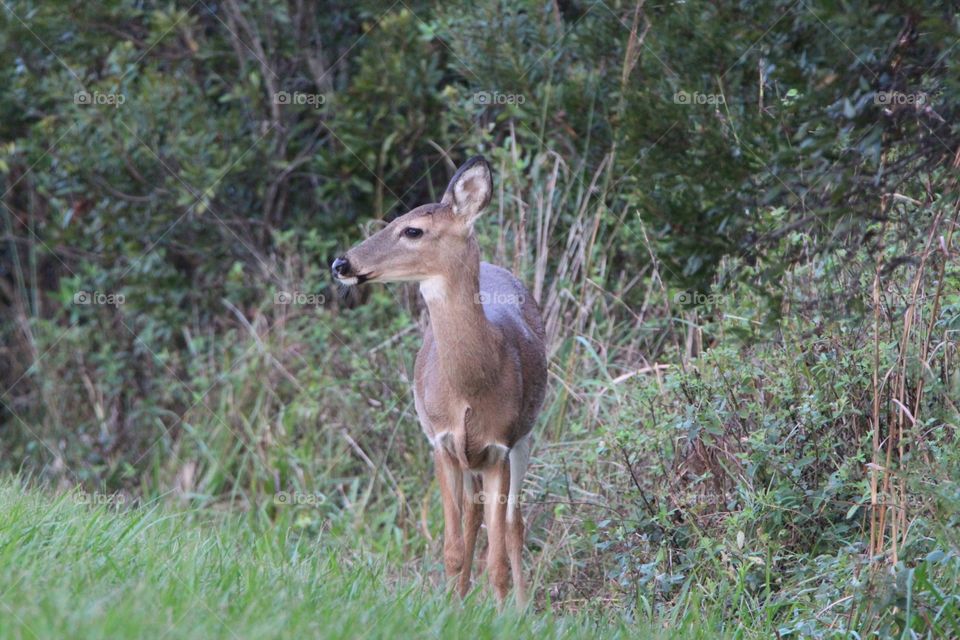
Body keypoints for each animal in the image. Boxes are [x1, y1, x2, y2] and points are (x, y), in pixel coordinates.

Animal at [332, 155, 548, 604]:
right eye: (394, 219)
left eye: (412, 230)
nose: (341, 264)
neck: (470, 386)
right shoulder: (441, 441)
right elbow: (452, 548)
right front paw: (450, 607)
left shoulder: (500, 445)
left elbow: (497, 558)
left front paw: (504, 611)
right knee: (473, 516)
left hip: (525, 437)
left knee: (514, 522)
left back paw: (522, 605)